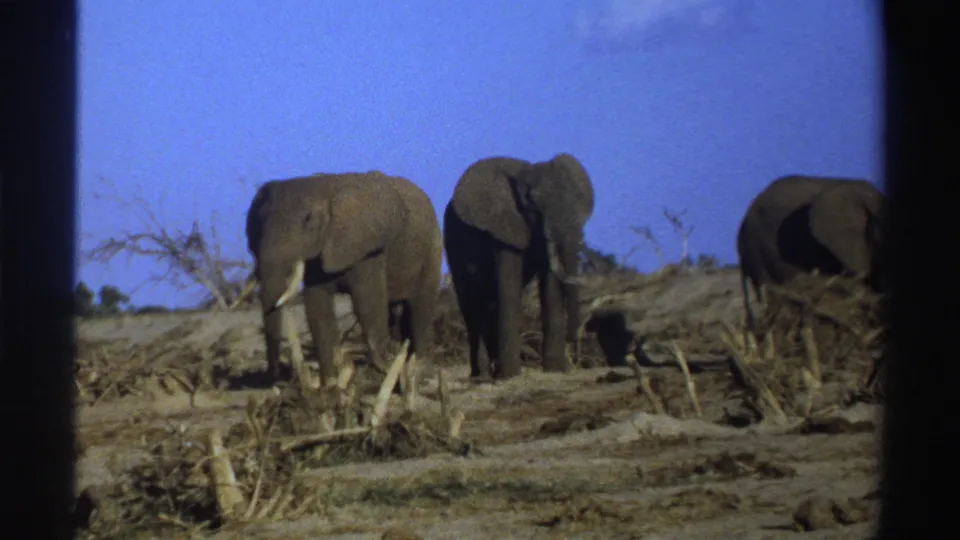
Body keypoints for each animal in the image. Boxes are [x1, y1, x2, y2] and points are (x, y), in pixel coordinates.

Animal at [245, 170, 444, 388]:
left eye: (308, 219)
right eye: (259, 222)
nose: (274, 376)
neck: (326, 188)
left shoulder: (368, 249)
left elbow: (367, 304)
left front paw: (383, 369)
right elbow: (317, 308)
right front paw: (330, 384)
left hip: (432, 247)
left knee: (421, 306)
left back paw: (419, 370)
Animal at [443, 153, 595, 380]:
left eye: (578, 200)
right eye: (533, 204)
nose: (574, 339)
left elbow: (550, 284)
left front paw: (556, 370)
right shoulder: (503, 225)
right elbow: (509, 286)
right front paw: (511, 376)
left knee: (489, 301)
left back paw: (492, 370)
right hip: (452, 240)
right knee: (471, 301)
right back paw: (482, 375)